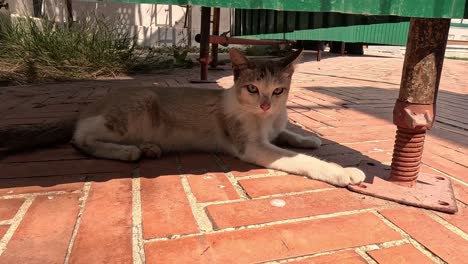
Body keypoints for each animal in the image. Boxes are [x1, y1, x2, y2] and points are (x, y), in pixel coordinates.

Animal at [0, 48, 366, 187]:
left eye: (278, 91)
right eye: (252, 88)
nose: (264, 105)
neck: (265, 120)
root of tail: (89, 105)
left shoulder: (277, 125)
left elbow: (288, 133)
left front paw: (308, 138)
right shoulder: (253, 147)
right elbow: (299, 159)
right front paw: (342, 172)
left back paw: (146, 148)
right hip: (136, 106)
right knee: (81, 140)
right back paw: (130, 151)